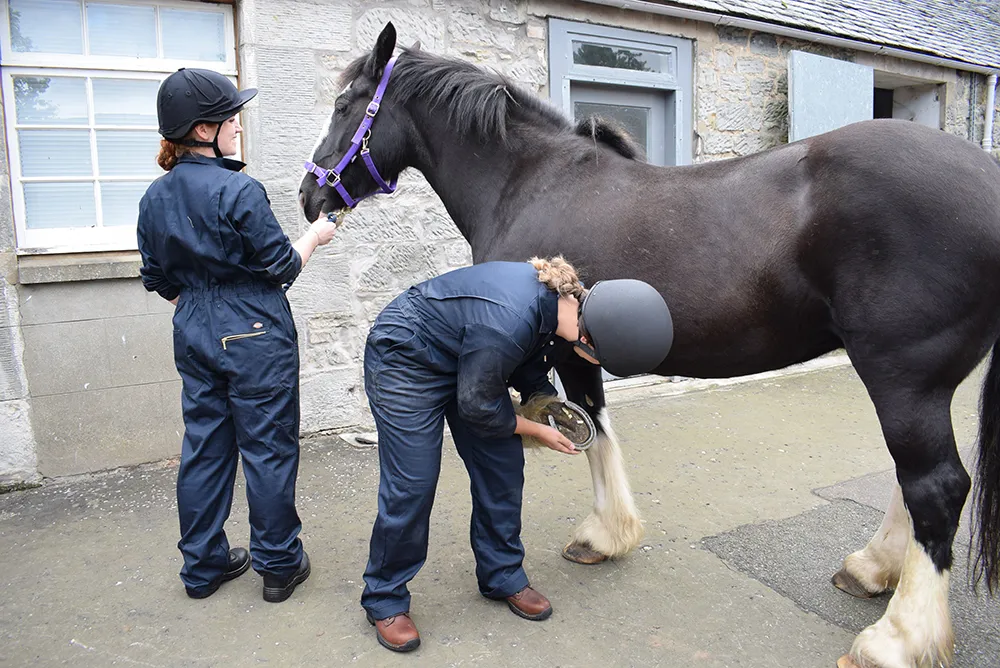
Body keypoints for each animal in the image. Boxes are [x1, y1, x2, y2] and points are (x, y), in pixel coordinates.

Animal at [299, 22, 1000, 668]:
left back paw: (896, 638)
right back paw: (872, 569)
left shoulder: (564, 345)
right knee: (913, 482)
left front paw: (603, 535)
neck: (530, 182)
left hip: (901, 375)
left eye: (343, 104)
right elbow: (596, 425)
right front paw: (612, 533)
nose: (310, 195)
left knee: (935, 486)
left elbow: (591, 428)